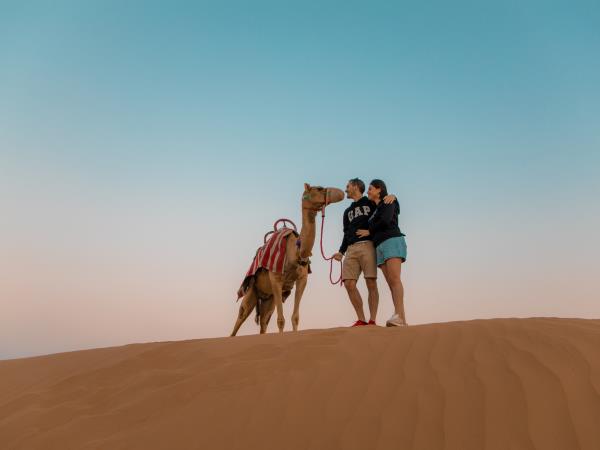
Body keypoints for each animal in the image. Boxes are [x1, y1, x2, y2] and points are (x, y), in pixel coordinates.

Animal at [230, 182, 342, 334]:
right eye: (319, 188)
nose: (340, 193)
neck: (294, 252)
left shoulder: (302, 279)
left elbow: (295, 317)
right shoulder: (276, 279)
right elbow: (280, 320)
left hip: (269, 298)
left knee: (264, 321)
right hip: (252, 289)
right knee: (241, 315)